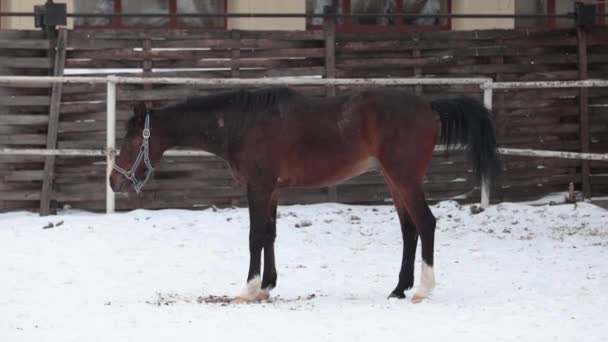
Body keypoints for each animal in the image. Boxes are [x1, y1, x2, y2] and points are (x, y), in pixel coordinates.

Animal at [109, 87, 498, 304]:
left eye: (132, 140)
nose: (114, 182)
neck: (242, 123)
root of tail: (429, 106)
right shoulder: (271, 190)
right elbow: (269, 234)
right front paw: (266, 287)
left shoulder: (258, 185)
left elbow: (254, 236)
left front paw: (248, 290)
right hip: (394, 179)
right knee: (410, 229)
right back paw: (398, 289)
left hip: (404, 177)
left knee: (426, 223)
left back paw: (422, 290)